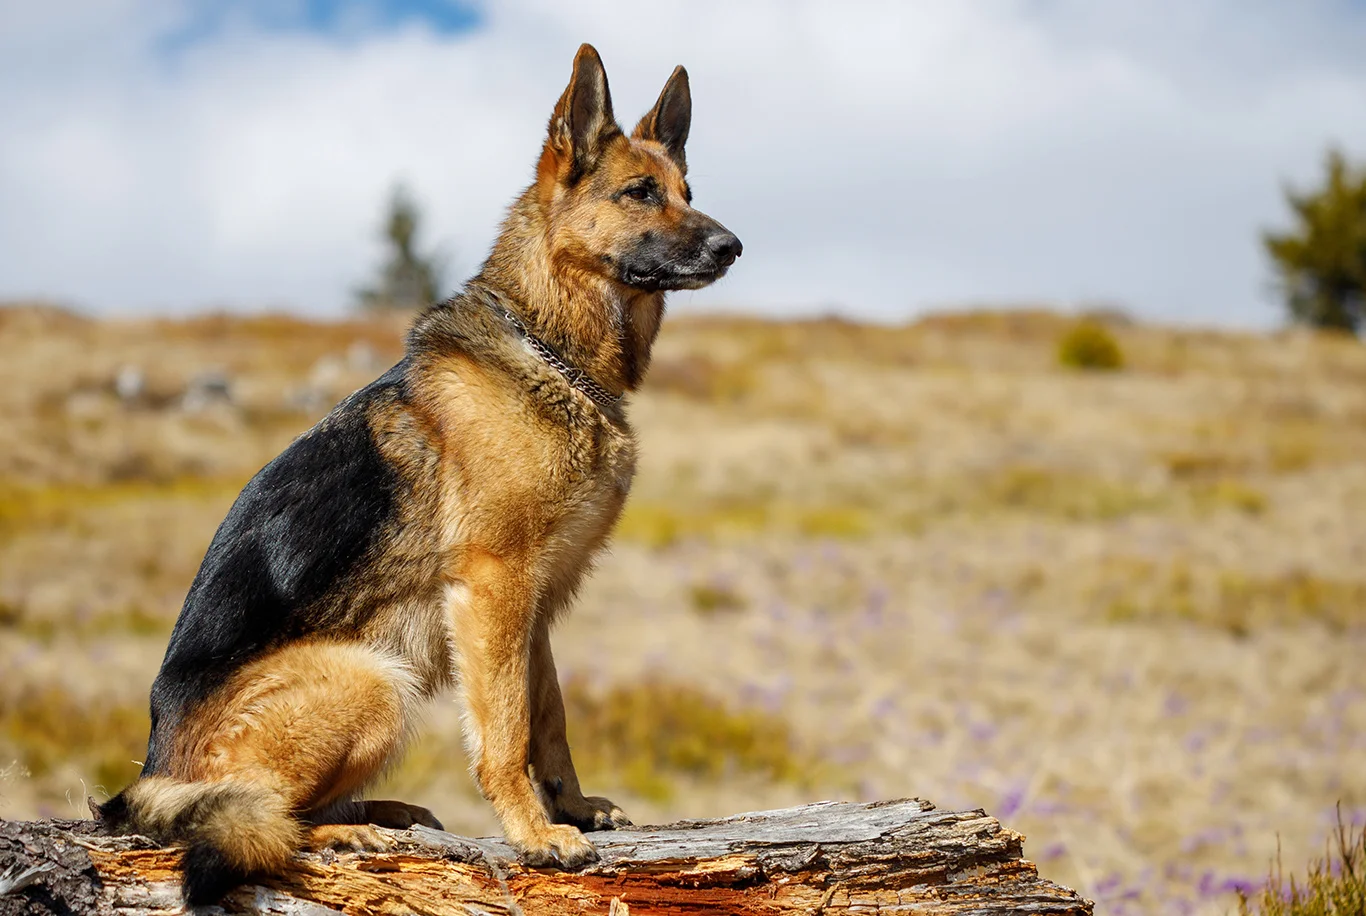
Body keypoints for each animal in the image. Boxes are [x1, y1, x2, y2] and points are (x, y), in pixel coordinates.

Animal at [94, 41, 743, 900]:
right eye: (640, 193)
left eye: (687, 193)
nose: (732, 246)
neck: (553, 350)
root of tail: (150, 776)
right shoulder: (494, 587)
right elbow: (505, 731)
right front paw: (534, 834)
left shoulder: (534, 603)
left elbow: (549, 717)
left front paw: (569, 808)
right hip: (375, 679)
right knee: (262, 816)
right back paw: (352, 831)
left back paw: (385, 812)